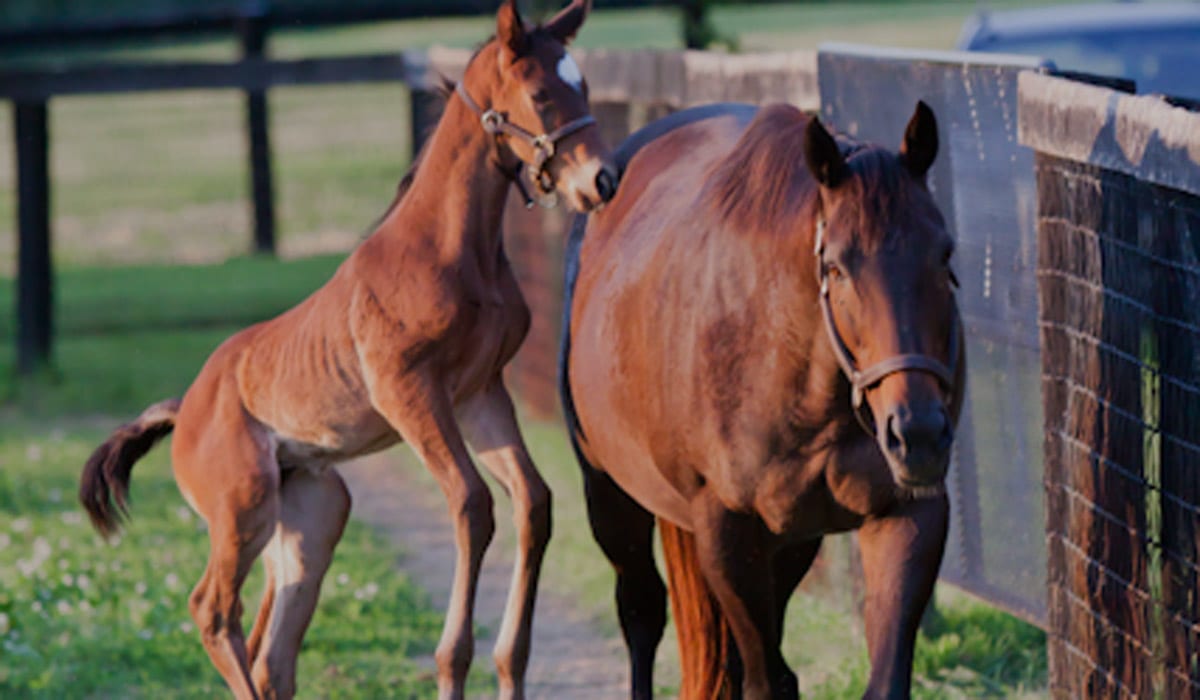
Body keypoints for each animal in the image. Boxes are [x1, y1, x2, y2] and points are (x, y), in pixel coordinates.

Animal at [78, 2, 614, 698]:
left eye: (584, 86)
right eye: (542, 94)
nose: (601, 180)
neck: (450, 249)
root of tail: (185, 408)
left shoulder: (479, 393)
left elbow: (533, 501)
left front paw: (508, 663)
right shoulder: (410, 392)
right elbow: (472, 505)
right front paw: (450, 665)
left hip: (313, 514)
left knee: (271, 653)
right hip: (243, 506)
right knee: (213, 611)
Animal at [559, 101, 964, 699]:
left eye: (944, 254)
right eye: (836, 266)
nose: (917, 434)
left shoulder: (908, 512)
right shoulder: (726, 529)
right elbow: (763, 681)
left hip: (788, 544)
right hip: (609, 493)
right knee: (641, 611)